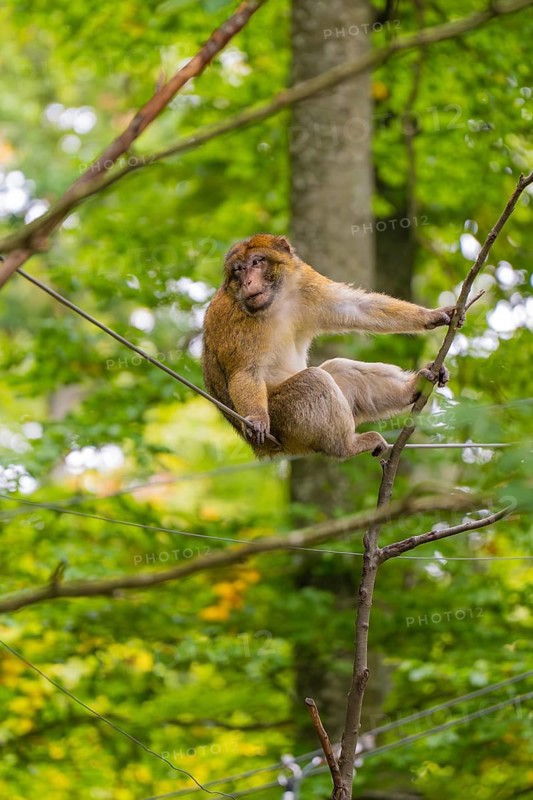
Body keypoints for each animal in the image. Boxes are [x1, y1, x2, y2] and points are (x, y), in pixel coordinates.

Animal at [202, 233, 458, 460]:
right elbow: (245, 371)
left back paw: (413, 388)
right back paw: (347, 447)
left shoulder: (305, 283)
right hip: (284, 419)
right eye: (238, 270)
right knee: (314, 381)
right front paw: (256, 417)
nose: (247, 282)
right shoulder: (234, 320)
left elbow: (356, 308)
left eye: (256, 262)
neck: (277, 302)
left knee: (340, 369)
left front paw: (433, 316)